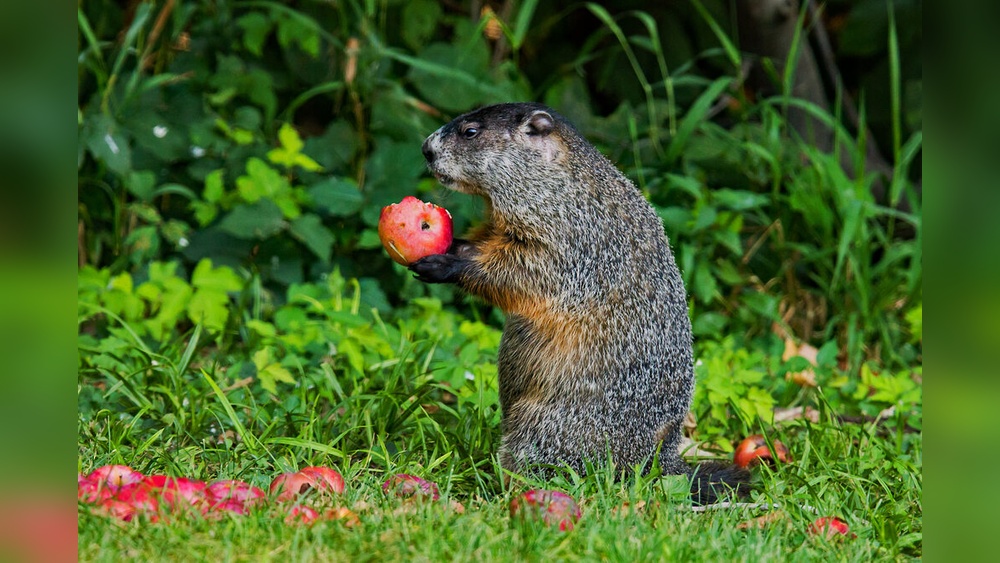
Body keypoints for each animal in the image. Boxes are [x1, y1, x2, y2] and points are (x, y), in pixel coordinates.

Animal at [411, 102, 749, 504]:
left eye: (471, 132)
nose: (425, 148)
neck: (554, 182)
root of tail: (662, 466)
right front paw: (453, 246)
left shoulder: (570, 231)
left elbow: (528, 267)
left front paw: (447, 264)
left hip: (546, 425)